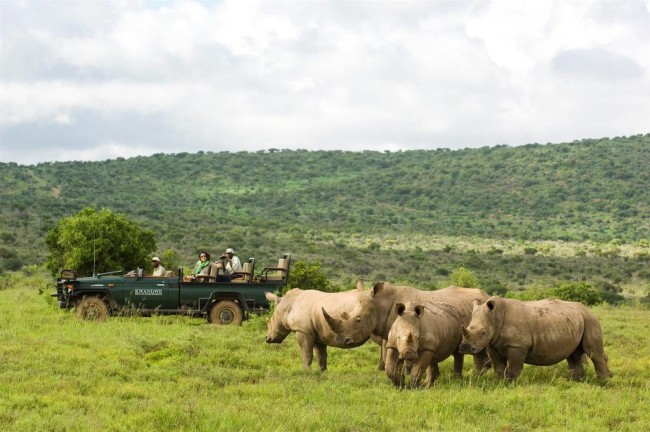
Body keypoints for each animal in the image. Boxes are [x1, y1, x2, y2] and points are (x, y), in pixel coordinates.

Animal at [322, 280, 490, 374]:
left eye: (358, 320)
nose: (342, 340)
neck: (380, 304)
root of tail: (487, 295)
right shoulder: (390, 333)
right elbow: (385, 352)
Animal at [459, 296, 612, 382]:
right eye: (468, 327)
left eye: (483, 332)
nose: (465, 347)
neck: (495, 317)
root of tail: (587, 309)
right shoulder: (493, 344)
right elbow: (499, 367)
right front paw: (500, 382)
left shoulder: (517, 345)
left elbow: (513, 366)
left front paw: (511, 383)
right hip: (577, 321)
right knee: (573, 356)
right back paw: (576, 381)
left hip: (590, 320)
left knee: (594, 354)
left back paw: (603, 383)